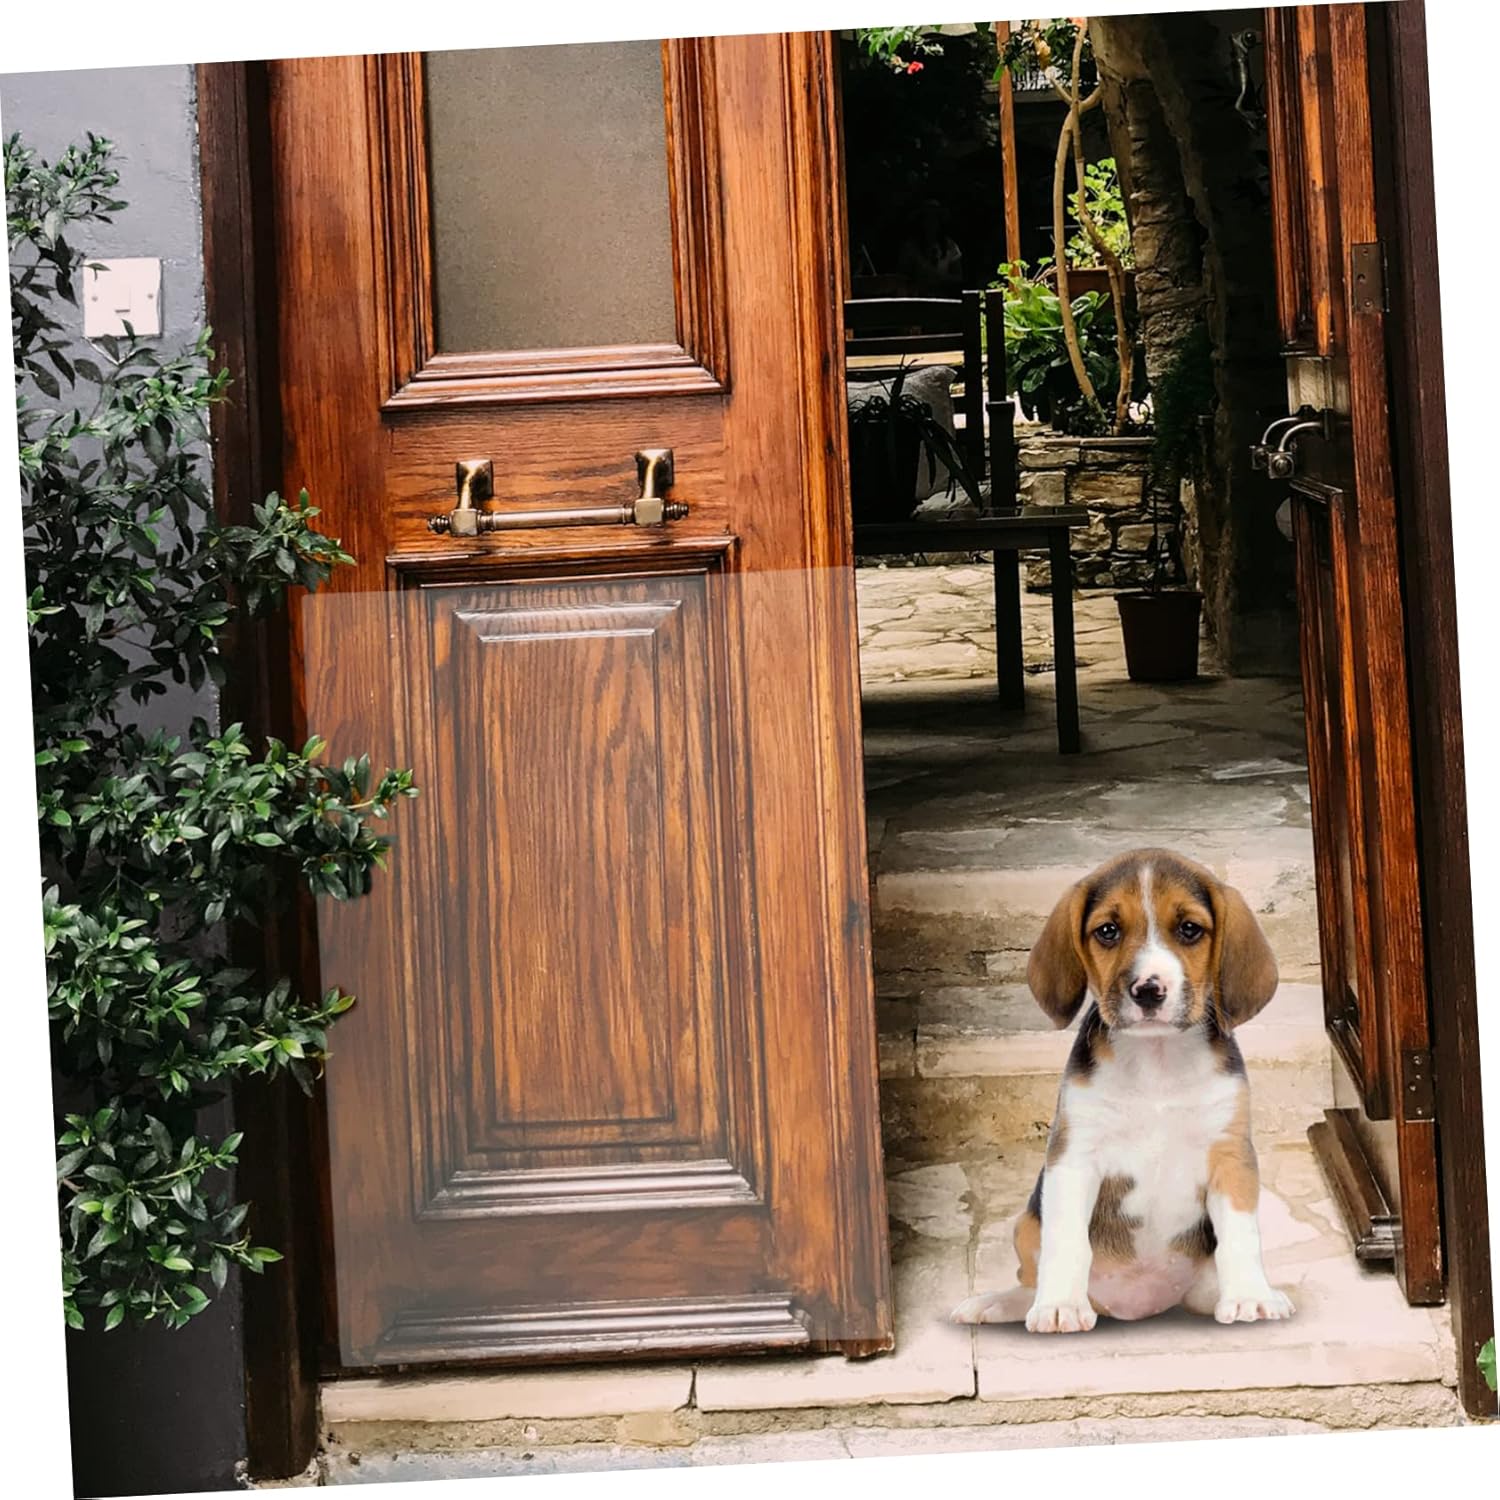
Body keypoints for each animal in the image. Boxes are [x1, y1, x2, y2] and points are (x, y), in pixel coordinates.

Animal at [951, 848, 1295, 1333]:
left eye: (1190, 929)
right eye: (1108, 931)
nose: (1148, 990)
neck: (1157, 1061)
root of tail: (1138, 1307)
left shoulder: (1232, 1158)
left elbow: (1241, 1236)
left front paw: (1250, 1296)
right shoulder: (1073, 1158)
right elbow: (1067, 1241)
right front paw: (1059, 1306)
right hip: (1025, 1224)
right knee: (1029, 1280)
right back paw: (998, 1304)